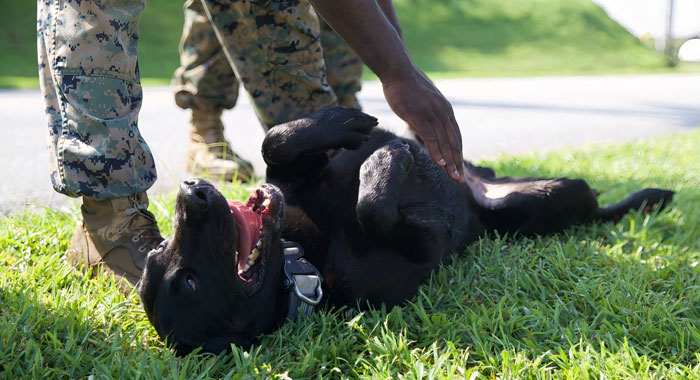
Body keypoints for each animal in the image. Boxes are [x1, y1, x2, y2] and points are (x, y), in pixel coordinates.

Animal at [138, 106, 672, 354]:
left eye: (156, 251)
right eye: (188, 283)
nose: (190, 191)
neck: (301, 258)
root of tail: (486, 187)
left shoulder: (297, 176)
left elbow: (277, 140)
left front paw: (350, 125)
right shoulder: (421, 250)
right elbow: (375, 206)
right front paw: (384, 161)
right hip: (547, 201)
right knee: (598, 211)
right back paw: (648, 201)